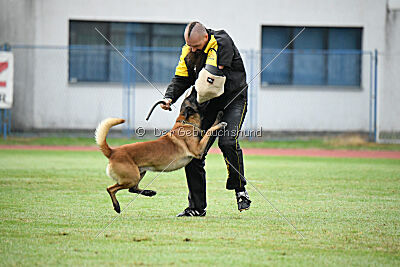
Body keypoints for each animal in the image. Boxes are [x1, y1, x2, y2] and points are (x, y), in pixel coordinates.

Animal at [94, 94, 225, 214]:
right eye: (193, 98)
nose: (194, 88)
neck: (185, 123)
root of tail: (113, 151)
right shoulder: (198, 150)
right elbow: (210, 130)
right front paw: (219, 121)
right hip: (132, 177)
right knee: (111, 189)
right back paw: (117, 206)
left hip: (140, 173)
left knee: (131, 189)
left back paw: (149, 192)